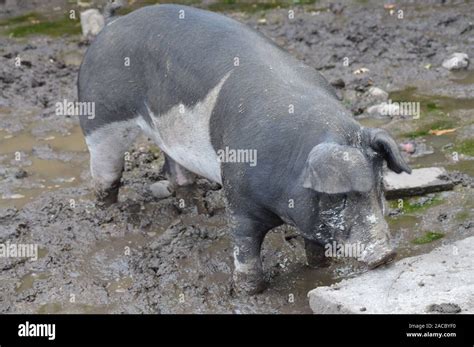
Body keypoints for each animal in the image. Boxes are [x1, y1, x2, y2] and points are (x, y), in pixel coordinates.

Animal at [78, 4, 412, 294]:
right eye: (338, 196)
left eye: (379, 186)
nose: (386, 254)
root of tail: (110, 27)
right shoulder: (237, 194)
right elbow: (245, 247)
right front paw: (247, 292)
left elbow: (315, 249)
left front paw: (319, 270)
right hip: (101, 120)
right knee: (105, 175)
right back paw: (107, 215)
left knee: (177, 173)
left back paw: (197, 212)